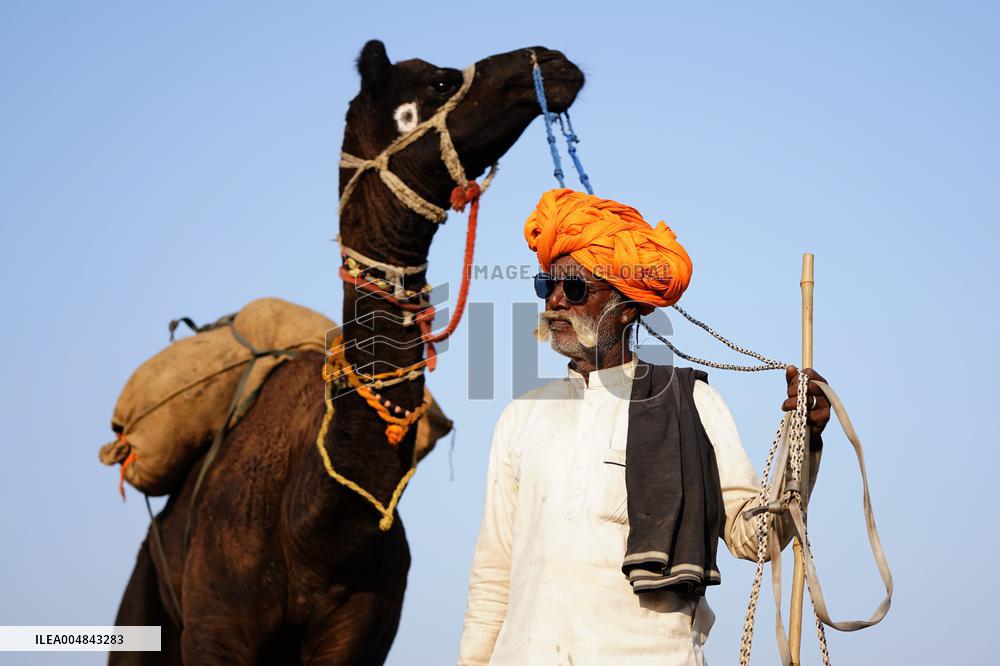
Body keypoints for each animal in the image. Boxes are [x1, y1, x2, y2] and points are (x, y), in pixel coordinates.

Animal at [109, 40, 583, 665]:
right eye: (438, 82)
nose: (551, 61)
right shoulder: (215, 629)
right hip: (143, 604)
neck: (314, 526)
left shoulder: (362, 632)